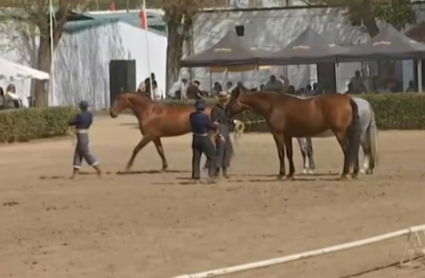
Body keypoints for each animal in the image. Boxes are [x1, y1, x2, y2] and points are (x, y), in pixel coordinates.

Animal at [227, 86, 360, 179]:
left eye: (231, 101)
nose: (225, 114)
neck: (273, 105)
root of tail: (348, 99)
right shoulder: (288, 136)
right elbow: (289, 154)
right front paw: (290, 174)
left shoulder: (278, 135)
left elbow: (281, 154)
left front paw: (281, 174)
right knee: (354, 148)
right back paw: (354, 172)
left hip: (340, 132)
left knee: (347, 149)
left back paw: (344, 174)